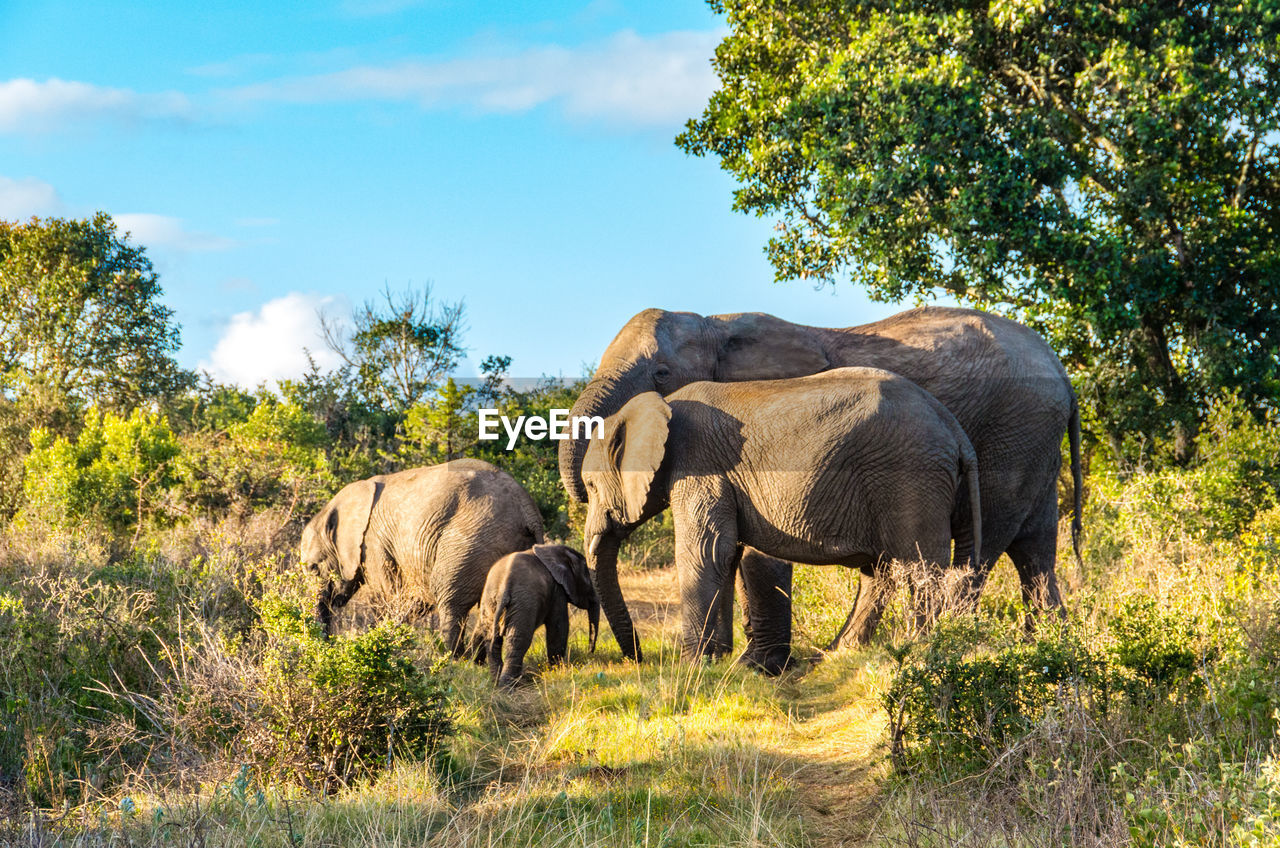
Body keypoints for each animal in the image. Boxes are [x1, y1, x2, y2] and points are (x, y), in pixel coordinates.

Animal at [300, 458, 545, 650]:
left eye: (313, 568)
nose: (328, 644)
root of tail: (528, 510)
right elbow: (412, 601)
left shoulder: (375, 542)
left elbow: (387, 597)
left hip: (473, 538)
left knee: (448, 598)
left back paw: (451, 659)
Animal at [478, 545, 601, 691]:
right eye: (587, 579)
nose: (590, 651)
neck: (553, 550)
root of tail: (503, 588)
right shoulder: (557, 590)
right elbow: (558, 627)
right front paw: (557, 670)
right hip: (524, 604)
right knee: (518, 640)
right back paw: (508, 688)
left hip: (489, 603)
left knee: (492, 641)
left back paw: (497, 685)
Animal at [586, 368, 983, 666]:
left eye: (589, 487)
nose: (639, 658)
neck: (656, 405)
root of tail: (955, 429)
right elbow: (725, 555)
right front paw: (720, 662)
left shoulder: (699, 466)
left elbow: (705, 551)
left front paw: (692, 667)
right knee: (881, 571)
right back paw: (841, 653)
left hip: (911, 476)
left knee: (919, 567)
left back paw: (922, 651)